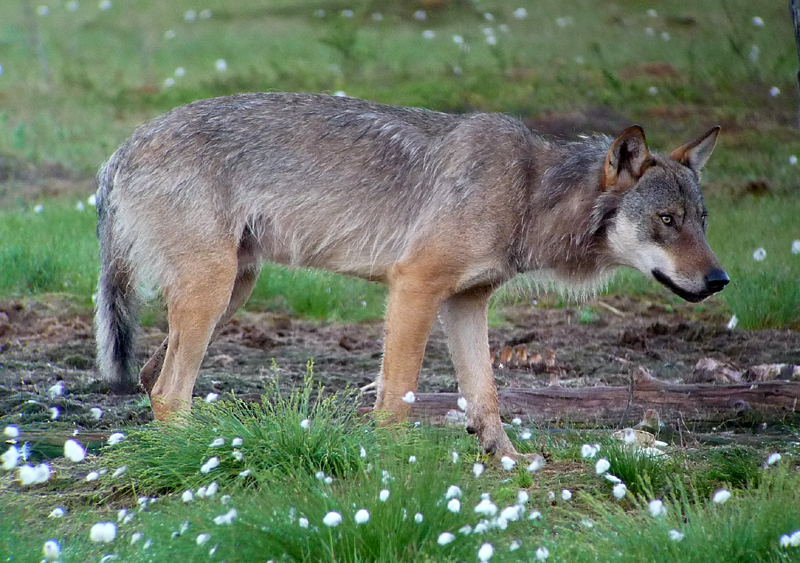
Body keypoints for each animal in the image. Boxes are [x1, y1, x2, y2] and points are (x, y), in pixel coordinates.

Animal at [92, 92, 724, 458]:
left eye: (701, 220)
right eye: (667, 221)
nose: (719, 280)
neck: (527, 192)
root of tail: (121, 148)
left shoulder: (467, 303)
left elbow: (486, 397)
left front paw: (510, 464)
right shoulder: (415, 287)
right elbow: (396, 399)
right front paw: (392, 471)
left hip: (232, 291)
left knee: (151, 378)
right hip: (214, 291)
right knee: (168, 390)